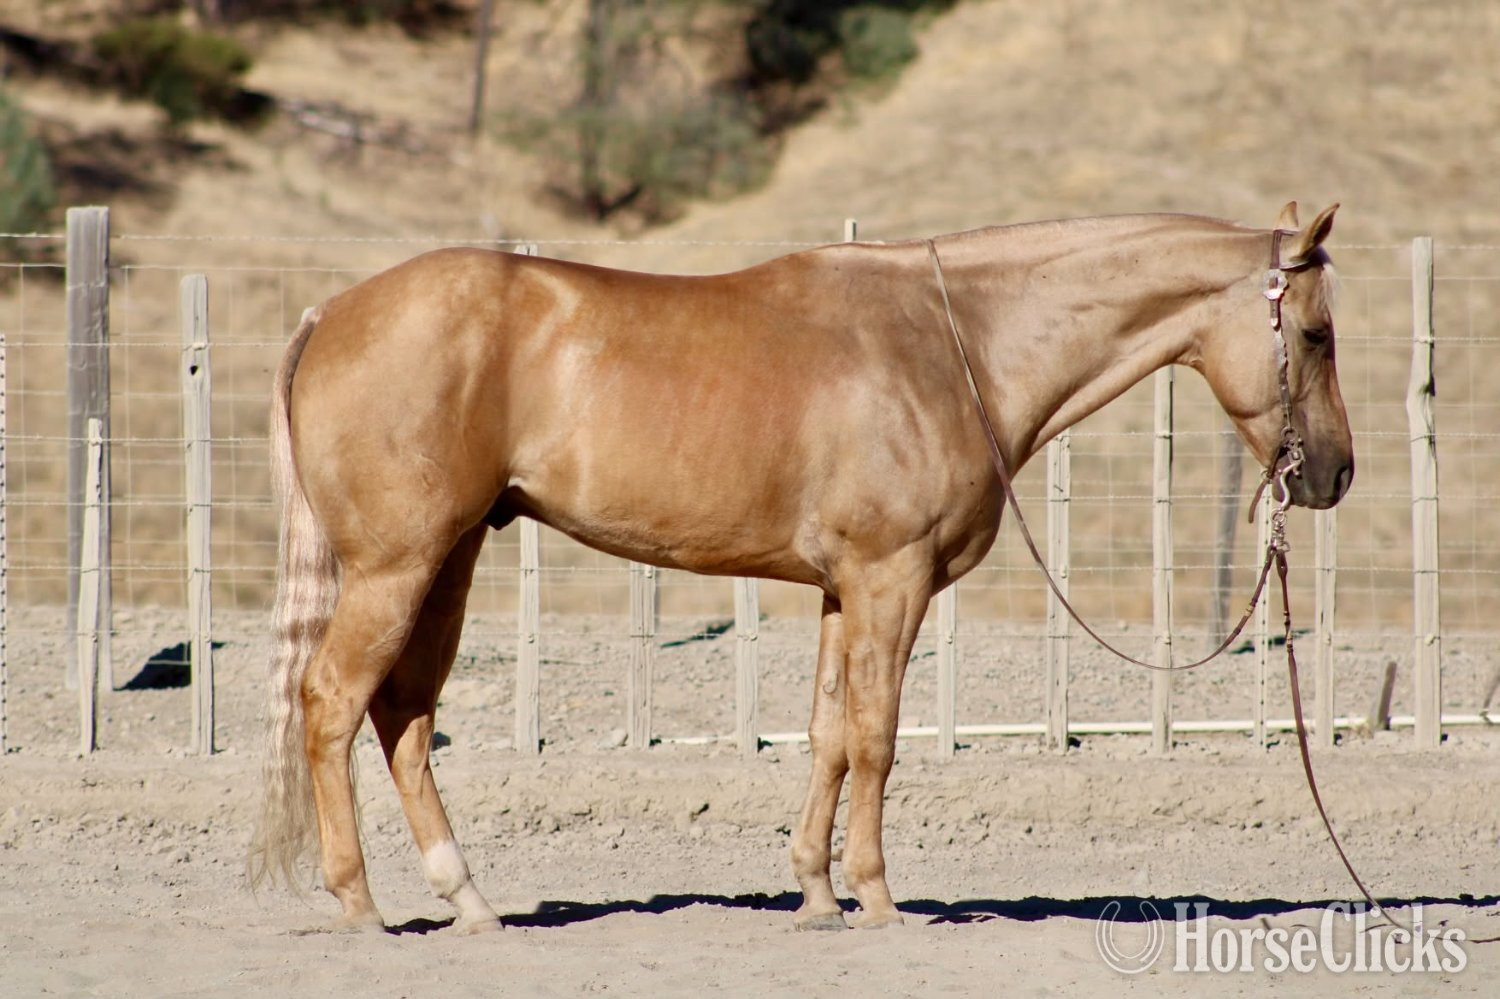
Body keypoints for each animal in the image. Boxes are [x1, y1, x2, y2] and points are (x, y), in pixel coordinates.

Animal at [249, 202, 1352, 934]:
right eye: (1316, 331)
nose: (1334, 473)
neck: (954, 341)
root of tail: (329, 315)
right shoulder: (889, 580)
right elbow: (875, 739)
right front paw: (876, 896)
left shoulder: (840, 590)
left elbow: (827, 736)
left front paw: (816, 892)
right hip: (398, 564)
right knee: (334, 701)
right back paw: (361, 904)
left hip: (453, 554)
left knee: (403, 715)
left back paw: (468, 899)